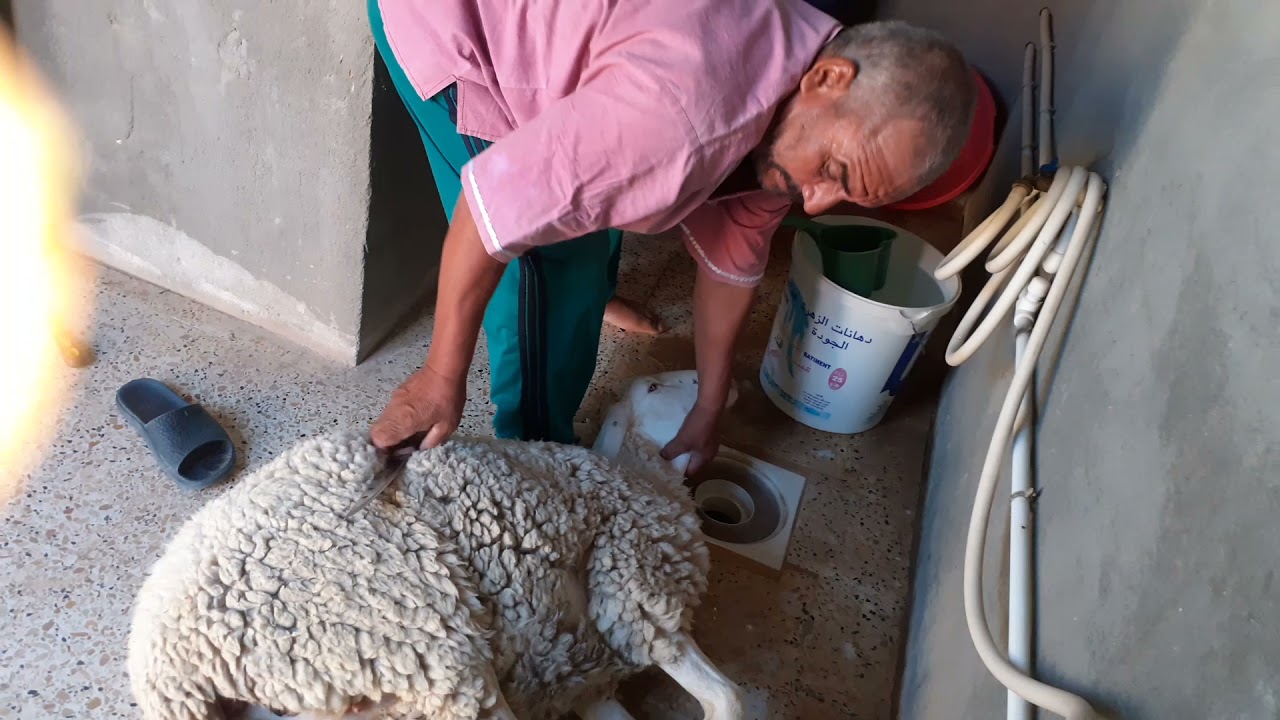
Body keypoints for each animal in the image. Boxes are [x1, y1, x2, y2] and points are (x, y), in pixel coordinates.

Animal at [127, 370, 746, 720]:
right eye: (657, 387)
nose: (726, 386)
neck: (641, 477)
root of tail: (162, 662)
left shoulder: (589, 682)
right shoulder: (636, 595)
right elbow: (728, 701)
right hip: (421, 640)